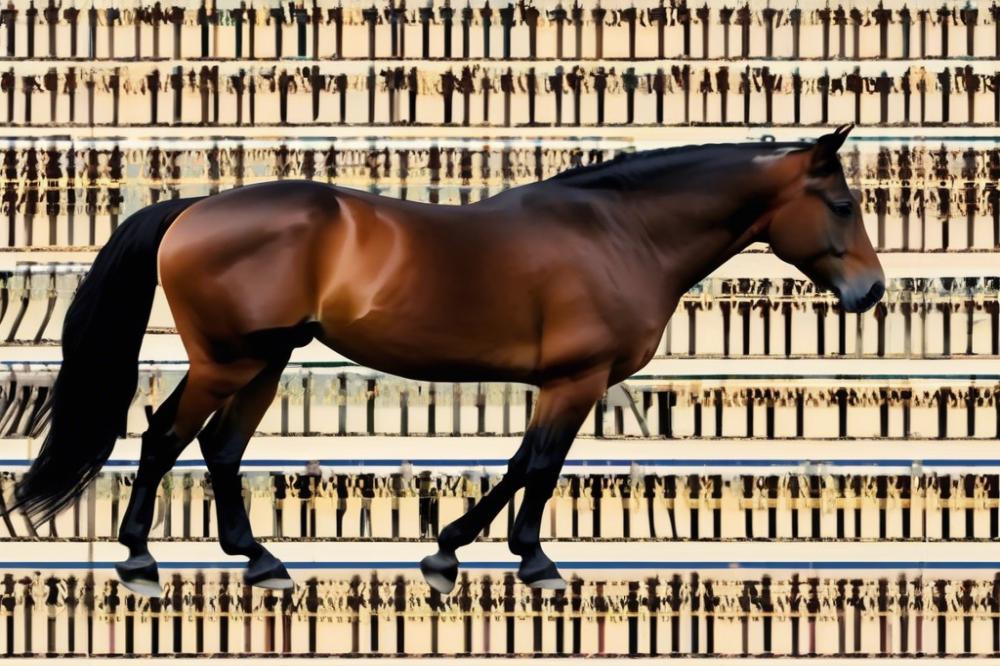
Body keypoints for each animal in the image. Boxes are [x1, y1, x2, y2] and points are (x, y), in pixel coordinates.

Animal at [9, 123, 883, 597]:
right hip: (227, 361)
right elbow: (540, 469)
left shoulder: (558, 382)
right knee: (164, 437)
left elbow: (518, 464)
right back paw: (140, 559)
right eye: (841, 205)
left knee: (221, 448)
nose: (870, 292)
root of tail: (194, 209)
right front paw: (533, 562)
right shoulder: (576, 378)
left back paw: (259, 562)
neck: (619, 232)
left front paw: (447, 549)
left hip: (264, 361)